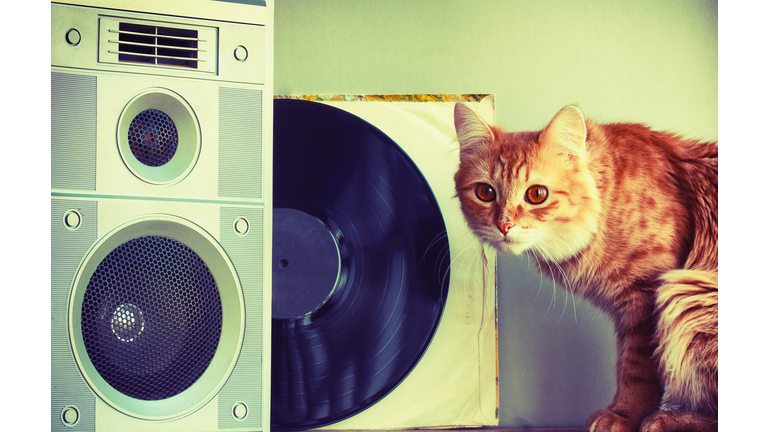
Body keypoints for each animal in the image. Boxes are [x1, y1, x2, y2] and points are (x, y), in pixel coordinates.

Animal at [452, 104, 716, 432]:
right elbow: (627, 364)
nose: (504, 225)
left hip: (685, 292)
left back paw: (668, 419)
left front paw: (624, 415)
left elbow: (637, 370)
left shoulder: (646, 297)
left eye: (536, 194)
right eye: (485, 192)